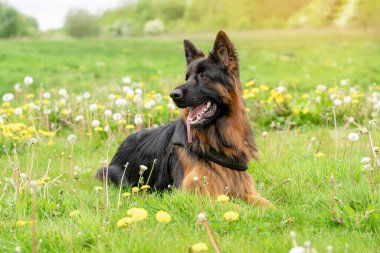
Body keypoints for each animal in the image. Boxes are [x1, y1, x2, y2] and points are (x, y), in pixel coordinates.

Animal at [96, 30, 272, 207]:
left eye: (203, 75)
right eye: (187, 77)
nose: (173, 95)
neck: (218, 137)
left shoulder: (244, 188)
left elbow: (268, 204)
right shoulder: (196, 194)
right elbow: (234, 206)